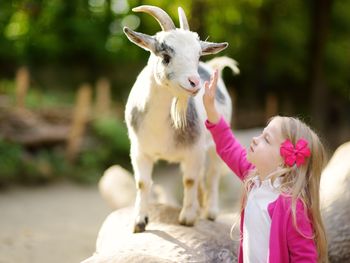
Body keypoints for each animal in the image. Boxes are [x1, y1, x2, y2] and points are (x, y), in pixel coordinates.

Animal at [121, 5, 239, 233]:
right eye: (165, 56)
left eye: (198, 56)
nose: (194, 82)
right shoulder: (139, 151)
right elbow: (143, 183)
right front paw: (139, 222)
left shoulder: (194, 151)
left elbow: (190, 180)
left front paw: (188, 218)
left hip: (213, 146)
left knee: (212, 175)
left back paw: (210, 212)